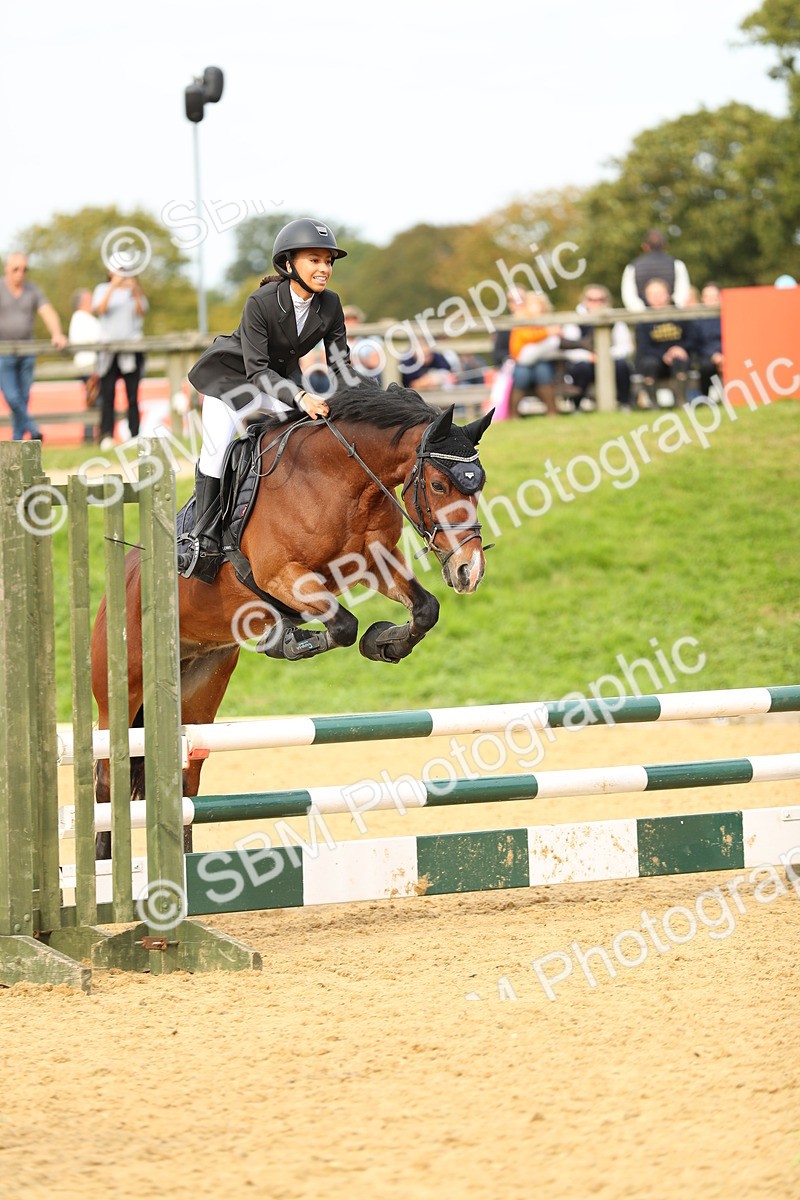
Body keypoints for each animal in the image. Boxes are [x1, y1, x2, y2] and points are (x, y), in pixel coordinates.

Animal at [90, 381, 494, 854]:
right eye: (439, 484)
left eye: (477, 487)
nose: (469, 571)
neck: (338, 478)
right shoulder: (282, 574)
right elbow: (342, 626)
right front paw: (285, 641)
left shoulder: (373, 561)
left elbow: (423, 609)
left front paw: (384, 642)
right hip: (121, 690)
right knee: (106, 779)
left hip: (200, 690)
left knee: (187, 781)